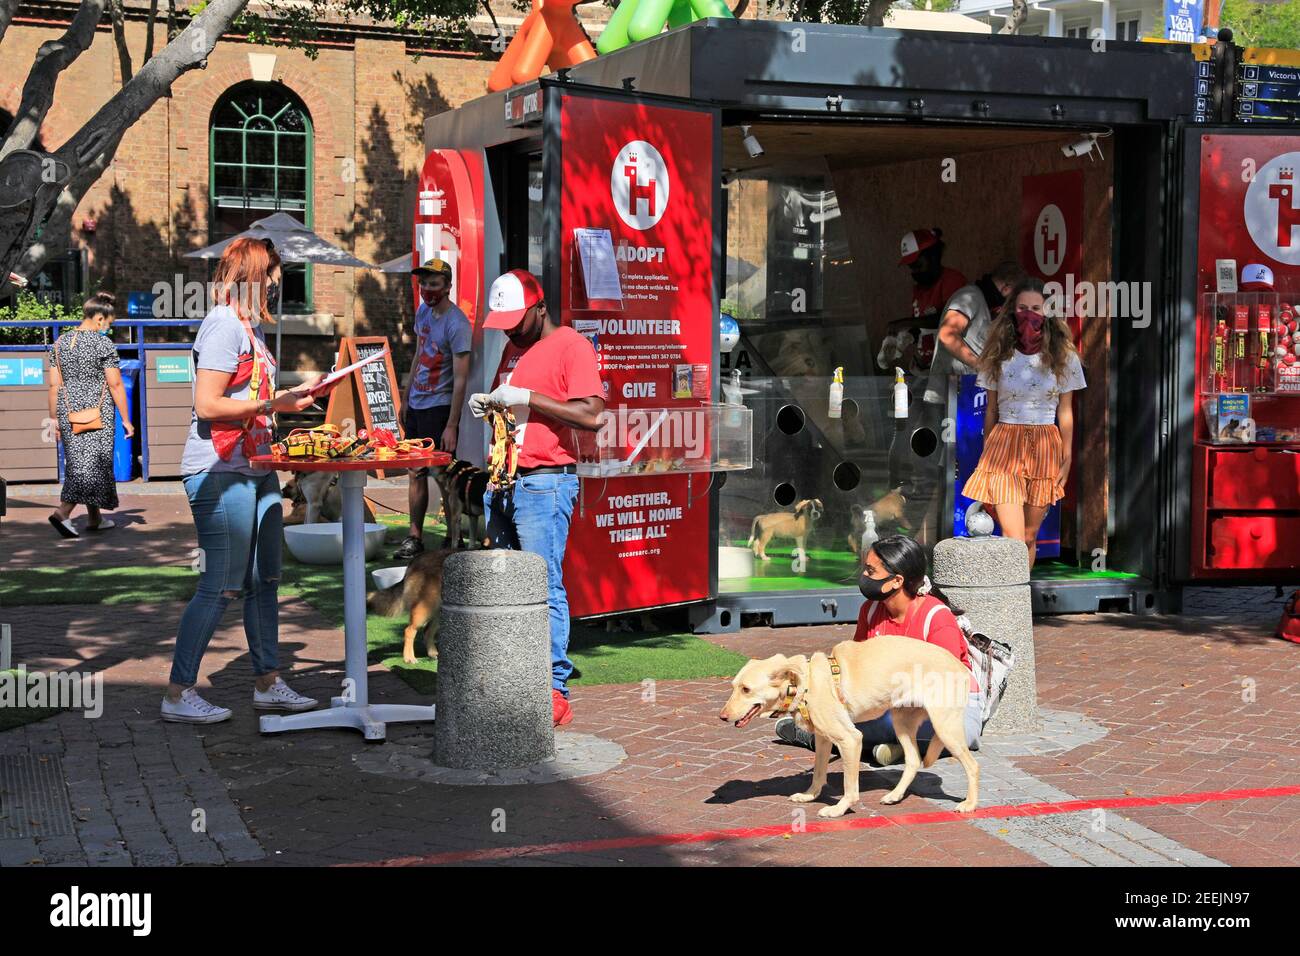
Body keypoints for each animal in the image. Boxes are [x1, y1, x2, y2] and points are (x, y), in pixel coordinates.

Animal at [717, 639, 977, 816]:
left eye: (746, 689)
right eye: (734, 686)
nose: (722, 716)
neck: (805, 683)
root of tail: (961, 666)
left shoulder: (851, 739)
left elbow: (849, 786)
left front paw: (839, 809)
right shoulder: (823, 740)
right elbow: (818, 773)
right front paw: (810, 796)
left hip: (945, 728)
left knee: (973, 766)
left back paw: (970, 804)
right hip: (902, 723)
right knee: (913, 760)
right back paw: (894, 796)